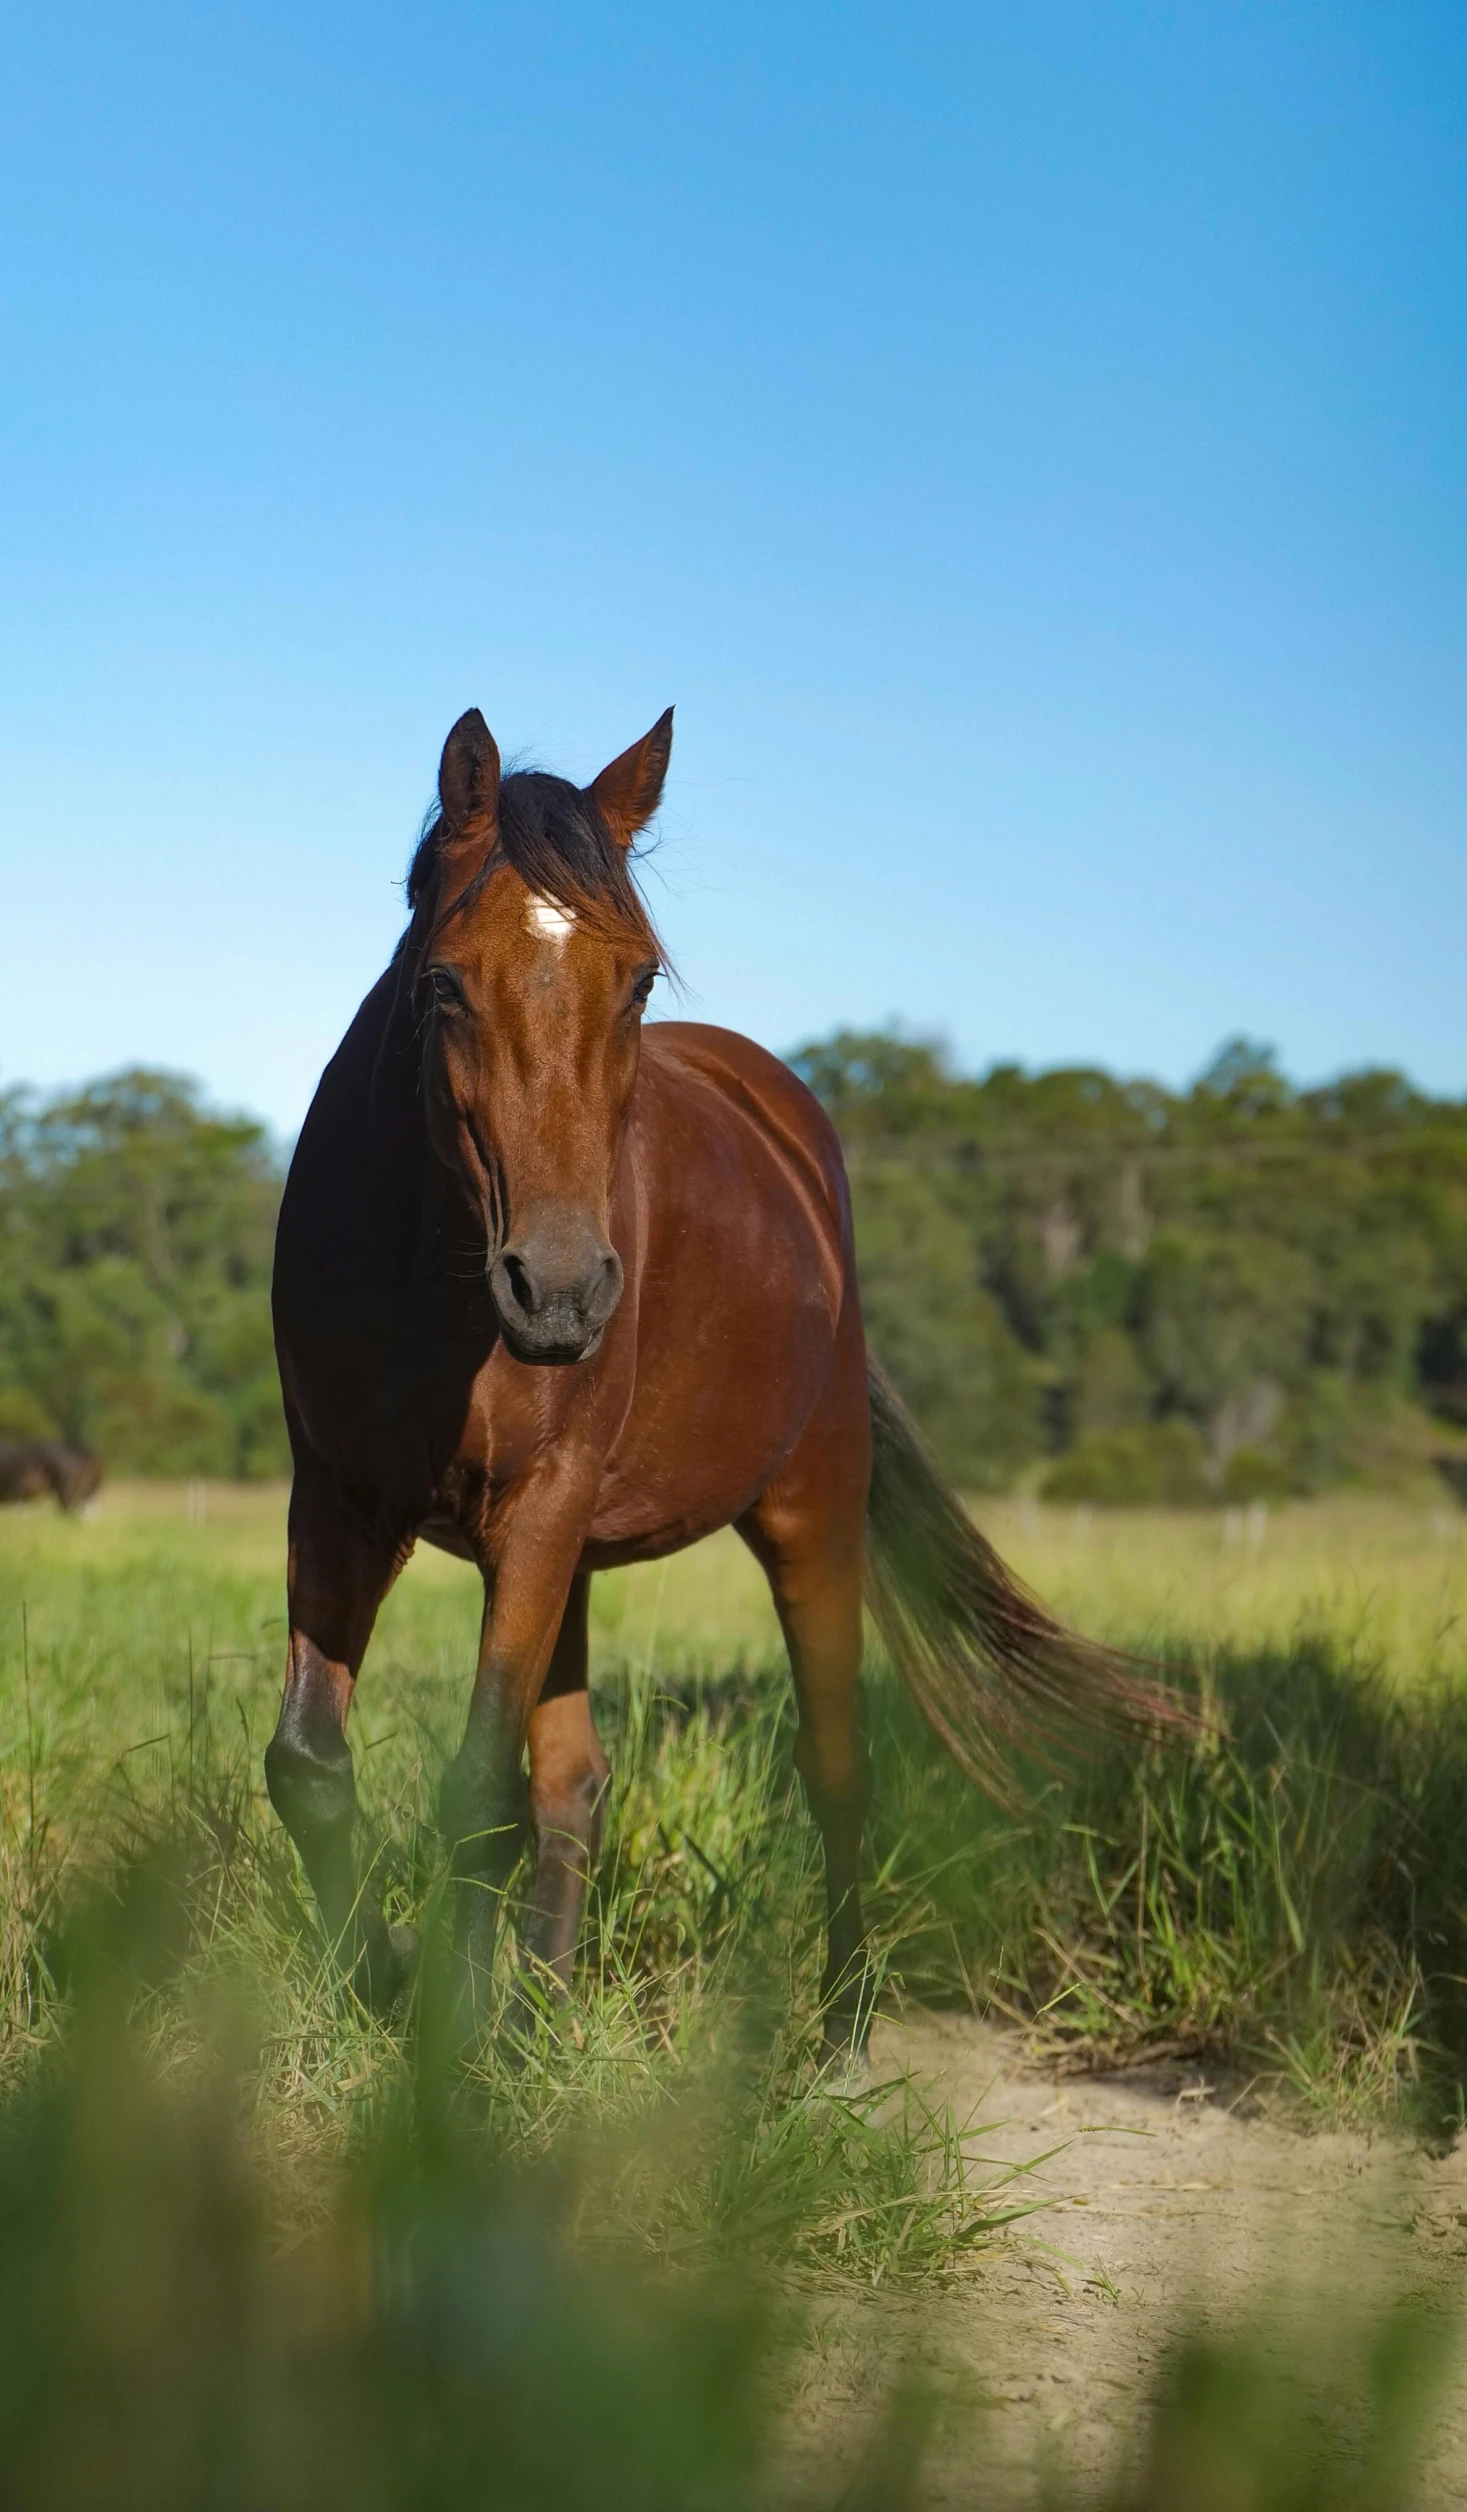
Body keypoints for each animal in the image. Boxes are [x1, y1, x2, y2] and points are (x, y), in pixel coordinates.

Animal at [268, 703, 1170, 2039]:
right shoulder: (337, 1500)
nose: (562, 1290)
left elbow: (477, 1793)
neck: (429, 1274)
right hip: (567, 1555)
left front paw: (445, 2043)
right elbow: (313, 1769)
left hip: (802, 1516)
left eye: (639, 978)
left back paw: (840, 2022)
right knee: (575, 1782)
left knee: (835, 1764)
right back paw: (543, 2011)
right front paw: (388, 1983)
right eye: (441, 983)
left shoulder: (536, 1513)